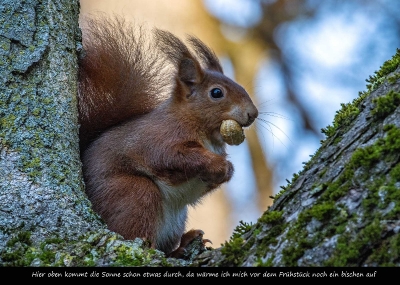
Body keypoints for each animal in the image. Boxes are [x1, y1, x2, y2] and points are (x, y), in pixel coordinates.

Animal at [77, 15, 258, 255]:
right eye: (217, 93)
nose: (253, 113)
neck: (205, 133)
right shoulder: (158, 138)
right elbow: (171, 156)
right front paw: (218, 164)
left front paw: (227, 171)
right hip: (134, 194)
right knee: (133, 229)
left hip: (175, 220)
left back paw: (183, 246)